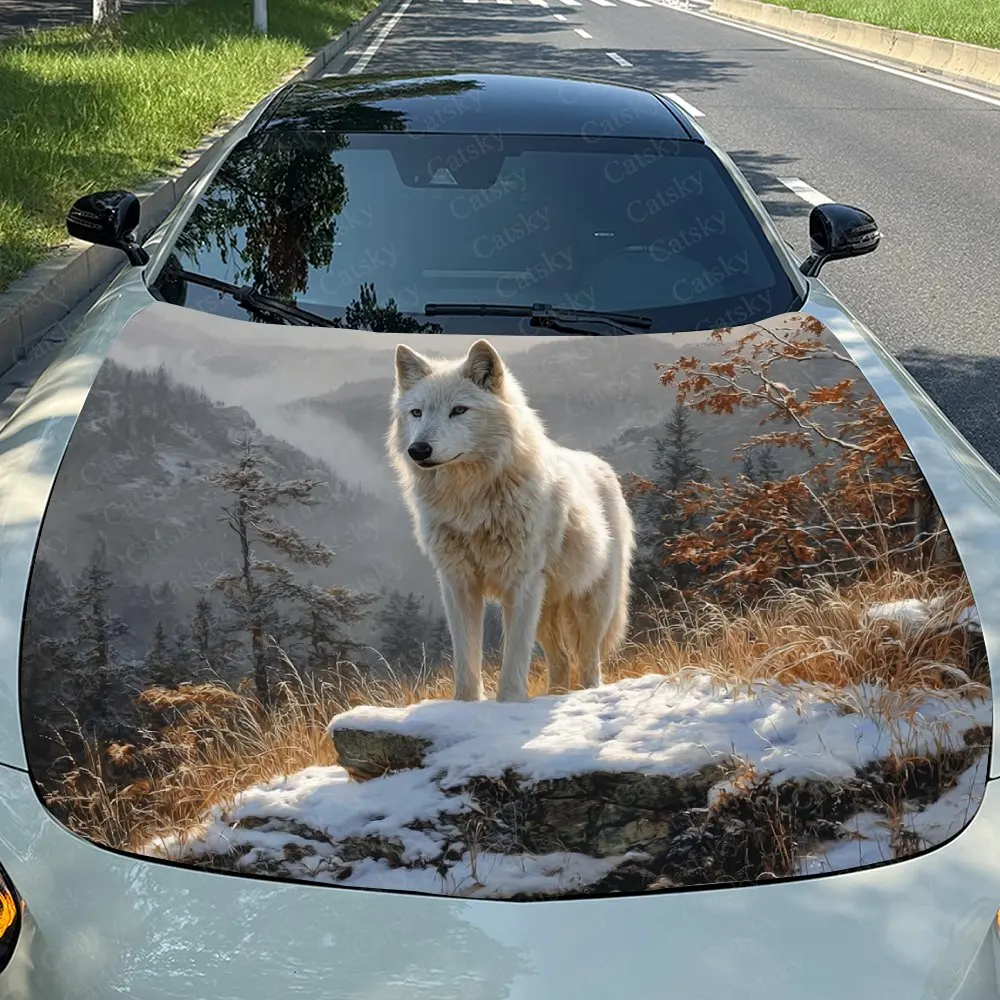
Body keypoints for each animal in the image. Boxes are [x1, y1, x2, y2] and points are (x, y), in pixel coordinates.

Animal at [387, 338, 635, 702]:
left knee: (589, 660)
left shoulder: (521, 583)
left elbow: (514, 657)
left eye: (458, 410)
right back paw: (553, 695)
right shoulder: (457, 583)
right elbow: (466, 657)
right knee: (561, 661)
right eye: (417, 413)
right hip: (546, 610)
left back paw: (586, 694)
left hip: (591, 605)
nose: (418, 450)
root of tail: (602, 466)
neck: (471, 503)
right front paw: (465, 704)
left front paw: (509, 702)